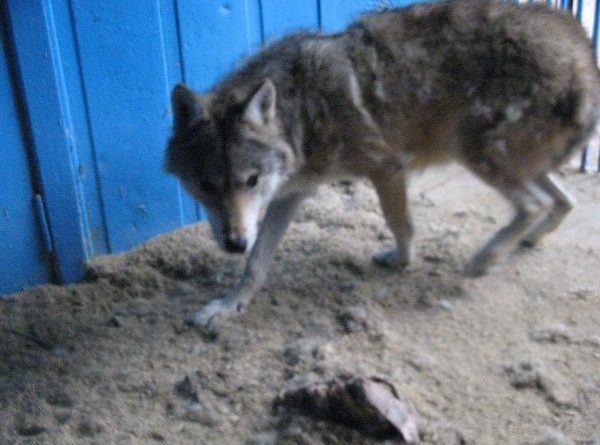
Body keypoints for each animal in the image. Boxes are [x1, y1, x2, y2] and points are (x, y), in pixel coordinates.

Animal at [164, 0, 600, 330]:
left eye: (251, 180)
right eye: (206, 186)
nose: (234, 243)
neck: (302, 111)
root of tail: (584, 54)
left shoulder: (385, 167)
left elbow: (400, 224)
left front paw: (402, 261)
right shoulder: (292, 194)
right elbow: (256, 264)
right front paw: (228, 307)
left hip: (474, 152)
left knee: (534, 205)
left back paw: (484, 260)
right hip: (515, 162)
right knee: (565, 201)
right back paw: (526, 241)